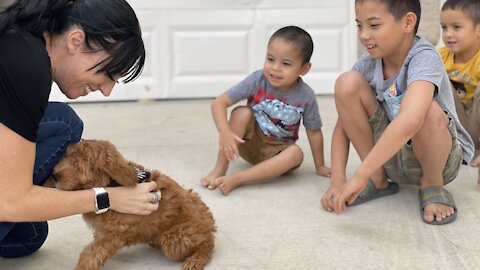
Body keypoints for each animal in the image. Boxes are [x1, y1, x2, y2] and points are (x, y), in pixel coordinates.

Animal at [50, 140, 216, 270]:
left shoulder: (113, 235)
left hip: (175, 238)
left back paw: (196, 259)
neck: (110, 184)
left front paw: (81, 267)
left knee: (206, 245)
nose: (55, 176)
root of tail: (210, 227)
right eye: (66, 157)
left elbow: (91, 254)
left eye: (78, 165)